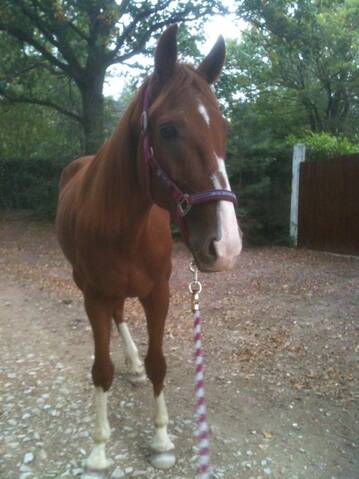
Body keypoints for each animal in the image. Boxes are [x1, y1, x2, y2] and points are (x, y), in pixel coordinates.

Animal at [56, 25, 242, 472]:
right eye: (168, 129)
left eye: (224, 128)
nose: (226, 245)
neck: (124, 222)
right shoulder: (94, 296)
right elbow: (101, 369)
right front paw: (99, 450)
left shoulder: (158, 293)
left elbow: (160, 364)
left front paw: (160, 440)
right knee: (117, 316)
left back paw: (135, 367)